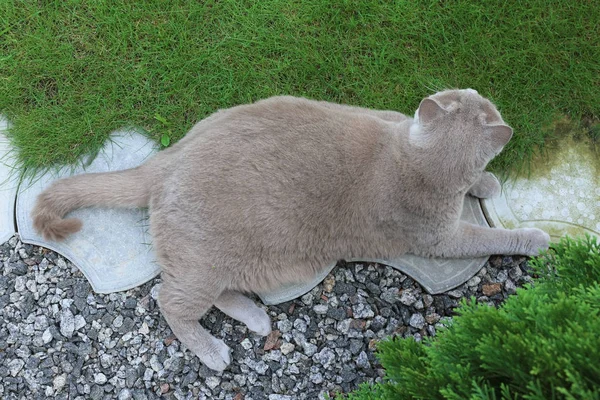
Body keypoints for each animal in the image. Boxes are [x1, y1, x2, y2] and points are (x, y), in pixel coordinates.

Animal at [31, 89, 548, 370]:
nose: (475, 92)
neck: (412, 158)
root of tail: (165, 160)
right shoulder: (440, 238)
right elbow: (489, 237)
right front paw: (533, 238)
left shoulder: (389, 120)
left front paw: (484, 182)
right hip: (203, 262)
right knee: (170, 301)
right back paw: (214, 350)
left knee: (214, 291)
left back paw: (257, 318)